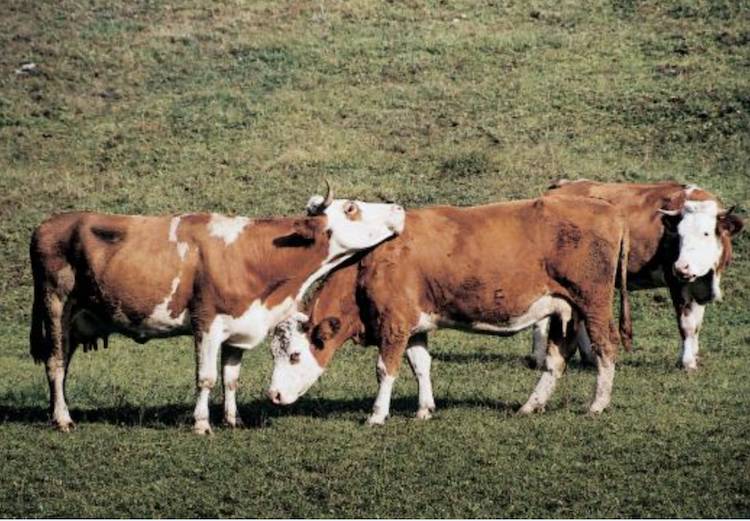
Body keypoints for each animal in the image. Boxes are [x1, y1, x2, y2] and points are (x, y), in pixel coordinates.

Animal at [29, 183, 405, 433]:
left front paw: (233, 418)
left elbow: (231, 378)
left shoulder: (239, 326)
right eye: (351, 208)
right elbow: (207, 377)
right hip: (55, 306)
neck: (253, 256)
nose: (399, 209)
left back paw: (56, 411)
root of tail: (47, 224)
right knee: (55, 363)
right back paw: (62, 419)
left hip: (75, 321)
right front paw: (201, 424)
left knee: (62, 365)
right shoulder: (206, 323)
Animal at [267, 196, 631, 424]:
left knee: (605, 346)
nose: (273, 395)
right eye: (274, 354)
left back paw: (597, 404)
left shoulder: (393, 324)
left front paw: (377, 415)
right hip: (563, 310)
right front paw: (424, 410)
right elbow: (421, 366)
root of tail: (609, 209)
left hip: (592, 302)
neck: (369, 263)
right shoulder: (414, 327)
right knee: (556, 360)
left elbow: (386, 370)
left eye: (295, 356)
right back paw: (531, 405)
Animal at [529, 180, 743, 371]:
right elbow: (687, 325)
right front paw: (687, 363)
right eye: (678, 235)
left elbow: (697, 324)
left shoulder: (698, 286)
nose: (681, 267)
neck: (708, 275)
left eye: (706, 233)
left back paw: (588, 358)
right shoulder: (677, 283)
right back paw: (539, 358)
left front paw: (694, 359)